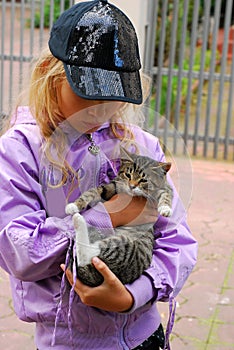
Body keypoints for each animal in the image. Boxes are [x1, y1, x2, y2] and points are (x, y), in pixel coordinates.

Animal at [65, 148, 173, 288]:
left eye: (143, 180)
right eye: (128, 175)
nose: (132, 186)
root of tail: (95, 278)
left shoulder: (163, 188)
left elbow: (166, 193)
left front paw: (165, 208)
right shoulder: (112, 186)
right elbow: (94, 191)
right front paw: (75, 205)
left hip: (123, 247)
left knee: (87, 254)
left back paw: (78, 222)